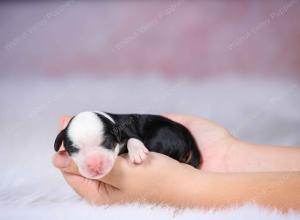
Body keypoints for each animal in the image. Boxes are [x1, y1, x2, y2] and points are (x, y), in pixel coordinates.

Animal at [55, 111, 203, 179]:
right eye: (73, 149)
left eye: (107, 142)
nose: (94, 165)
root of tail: (185, 132)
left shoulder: (128, 132)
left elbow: (133, 139)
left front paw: (137, 152)